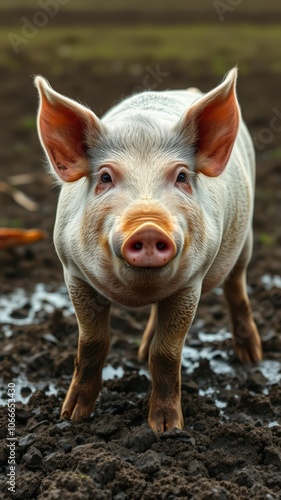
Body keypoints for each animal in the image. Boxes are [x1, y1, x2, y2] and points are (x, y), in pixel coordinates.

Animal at [35, 68, 262, 432]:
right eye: (105, 177)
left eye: (182, 176)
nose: (148, 226)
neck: (138, 293)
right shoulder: (73, 273)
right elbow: (92, 343)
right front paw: (71, 416)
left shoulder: (191, 283)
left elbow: (167, 353)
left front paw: (166, 429)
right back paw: (140, 353)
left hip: (246, 240)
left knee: (236, 288)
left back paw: (252, 357)